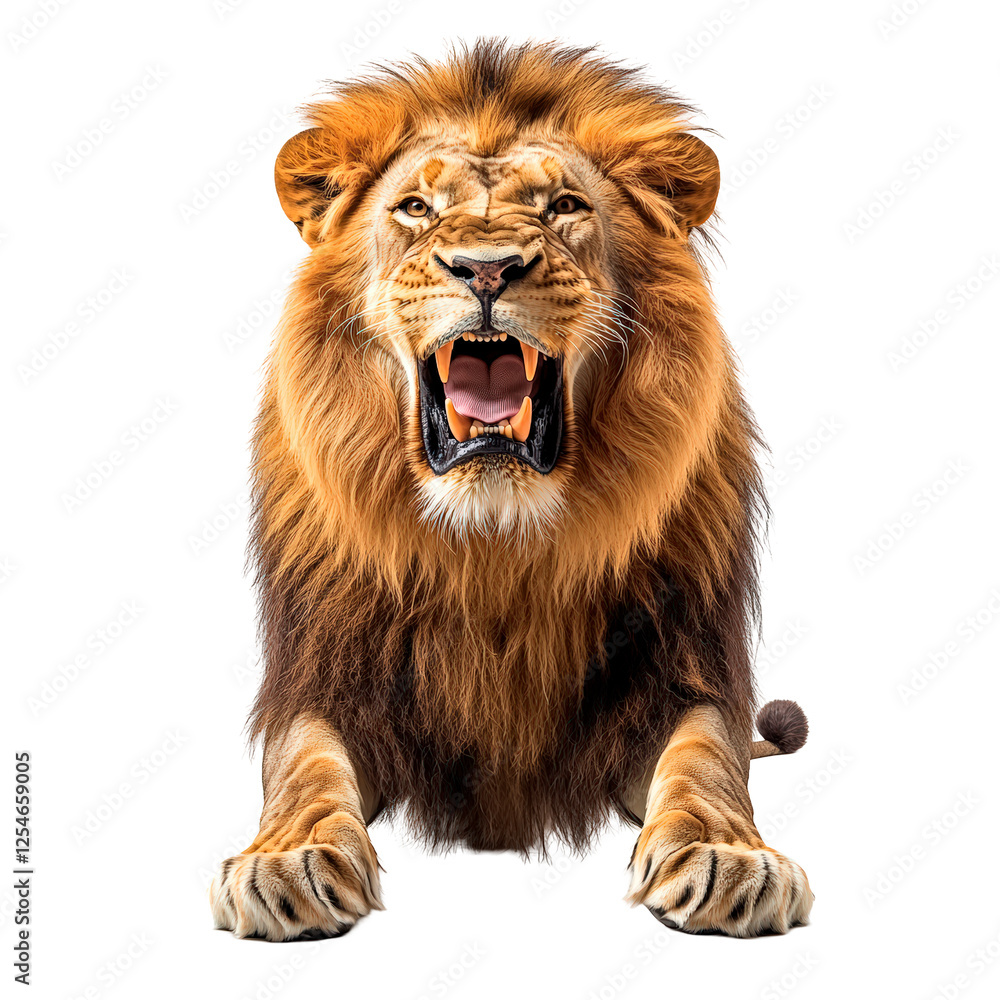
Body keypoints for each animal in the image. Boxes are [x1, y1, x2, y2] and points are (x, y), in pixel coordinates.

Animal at [209, 40, 814, 941]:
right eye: (415, 208)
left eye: (564, 205)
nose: (487, 268)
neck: (495, 544)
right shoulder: (327, 682)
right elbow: (304, 773)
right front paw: (288, 859)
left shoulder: (676, 679)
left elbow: (706, 762)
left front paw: (727, 855)